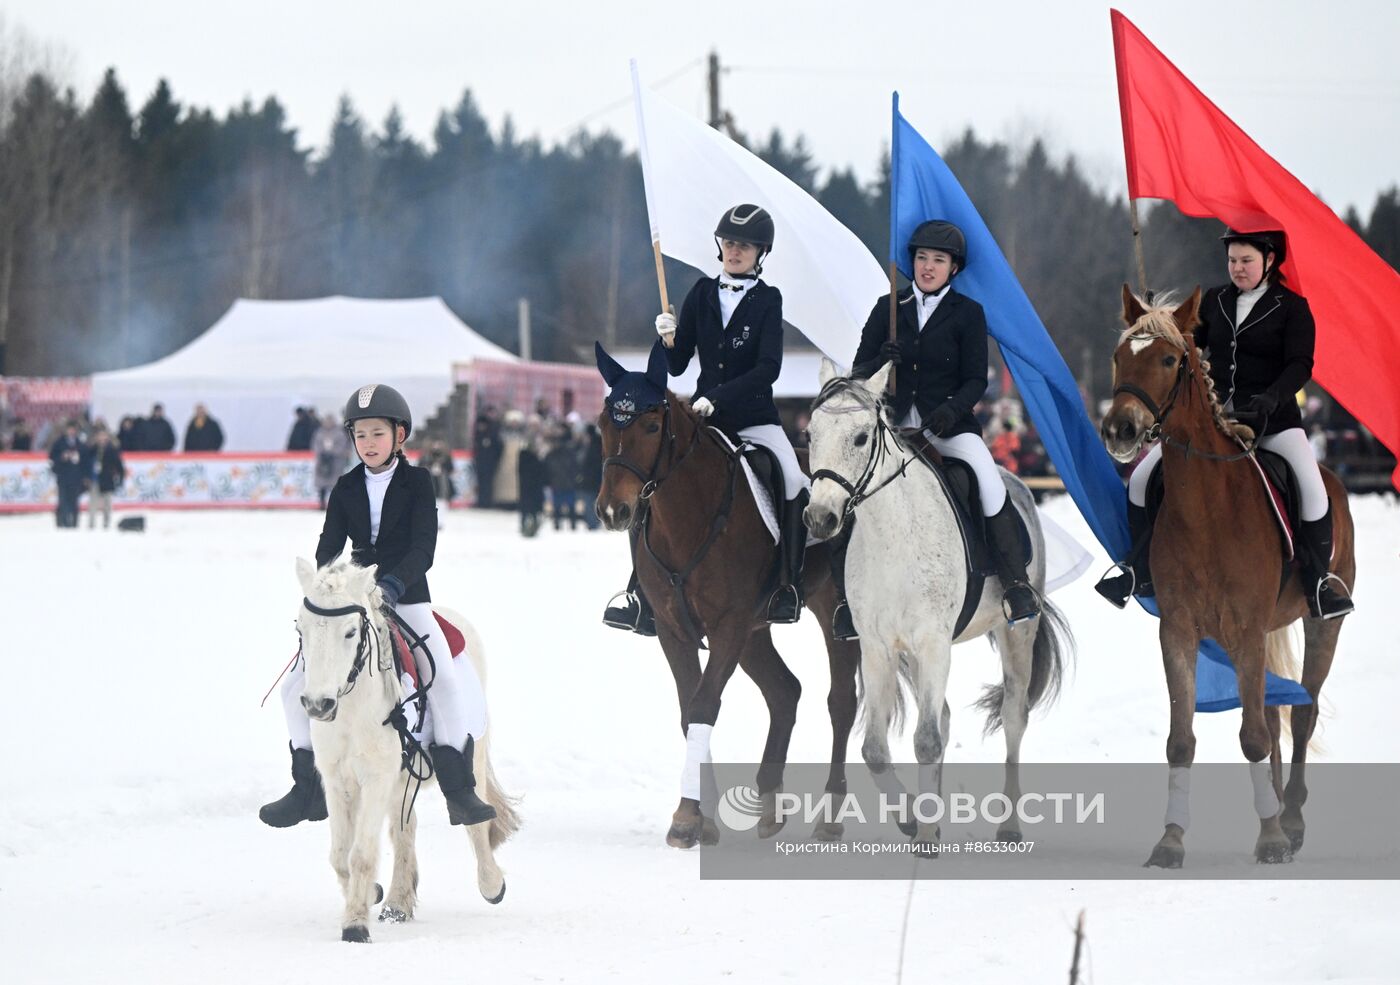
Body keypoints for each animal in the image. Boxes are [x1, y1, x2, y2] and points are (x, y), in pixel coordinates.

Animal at [295, 556, 520, 940]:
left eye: (350, 632)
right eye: (300, 629)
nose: (317, 705)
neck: (352, 708)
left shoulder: (376, 778)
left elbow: (361, 854)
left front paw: (355, 925)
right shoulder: (338, 779)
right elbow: (340, 855)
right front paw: (369, 896)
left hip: (470, 753)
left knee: (476, 820)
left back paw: (492, 885)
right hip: (401, 778)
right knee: (404, 829)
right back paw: (397, 902)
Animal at [593, 344, 862, 845]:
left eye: (651, 426)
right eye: (603, 423)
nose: (613, 511)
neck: (688, 517)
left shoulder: (728, 627)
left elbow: (704, 705)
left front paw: (686, 817)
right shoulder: (675, 631)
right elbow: (689, 712)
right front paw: (701, 815)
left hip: (831, 614)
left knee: (841, 702)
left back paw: (831, 817)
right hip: (756, 632)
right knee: (785, 692)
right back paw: (770, 805)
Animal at [800, 360, 1069, 845]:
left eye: (861, 437)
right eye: (810, 434)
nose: (821, 518)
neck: (891, 536)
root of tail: (1018, 485)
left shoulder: (933, 642)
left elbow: (925, 741)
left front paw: (923, 837)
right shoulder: (877, 648)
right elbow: (876, 750)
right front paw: (914, 817)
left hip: (1017, 633)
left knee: (1013, 716)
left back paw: (1009, 826)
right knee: (941, 717)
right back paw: (936, 812)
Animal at [1097, 281, 1349, 867]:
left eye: (1170, 360)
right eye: (1119, 355)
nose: (1120, 430)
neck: (1207, 508)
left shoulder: (1247, 630)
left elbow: (1255, 735)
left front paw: (1273, 838)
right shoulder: (1179, 630)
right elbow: (1182, 738)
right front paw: (1170, 841)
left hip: (1321, 624)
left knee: (1302, 712)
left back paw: (1291, 820)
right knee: (1277, 717)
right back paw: (1275, 806)